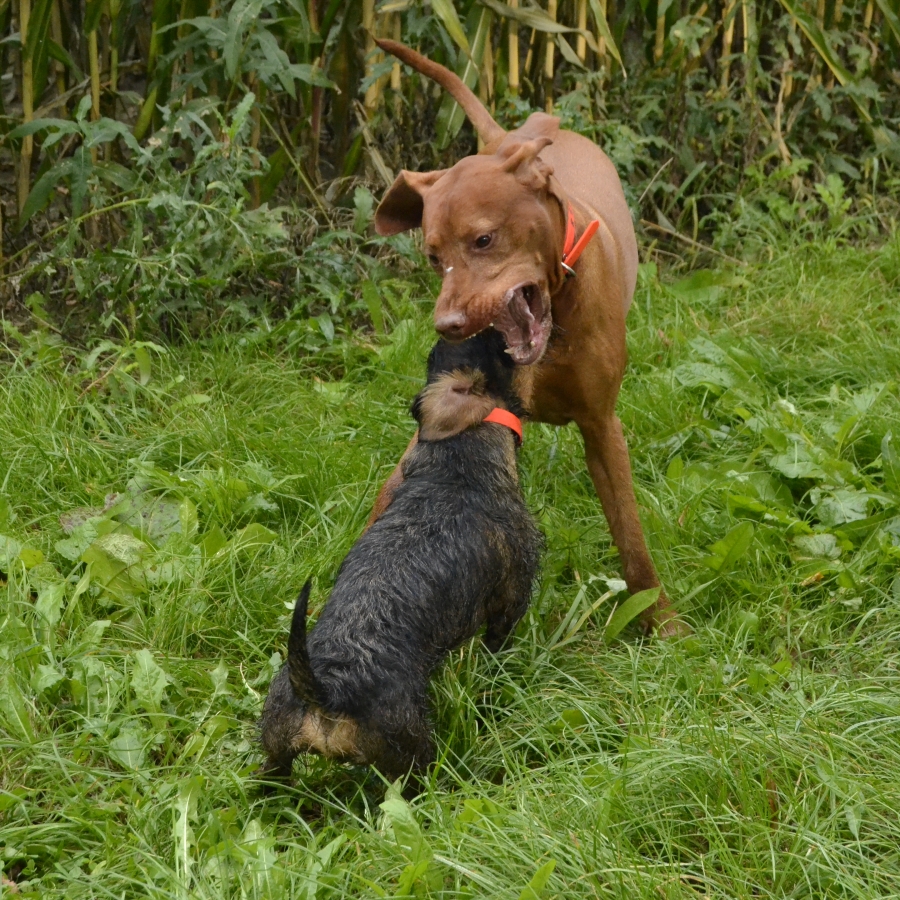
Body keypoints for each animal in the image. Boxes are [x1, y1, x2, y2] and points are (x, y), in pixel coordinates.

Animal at [259, 329, 543, 782]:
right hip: (411, 755)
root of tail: (328, 692)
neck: (453, 469)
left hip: (275, 745)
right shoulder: (510, 598)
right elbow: (499, 641)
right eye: (497, 349)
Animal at [369, 39, 684, 637]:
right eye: (433, 257)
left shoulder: (602, 426)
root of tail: (509, 139)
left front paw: (660, 622)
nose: (447, 325)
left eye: (484, 240)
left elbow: (630, 537)